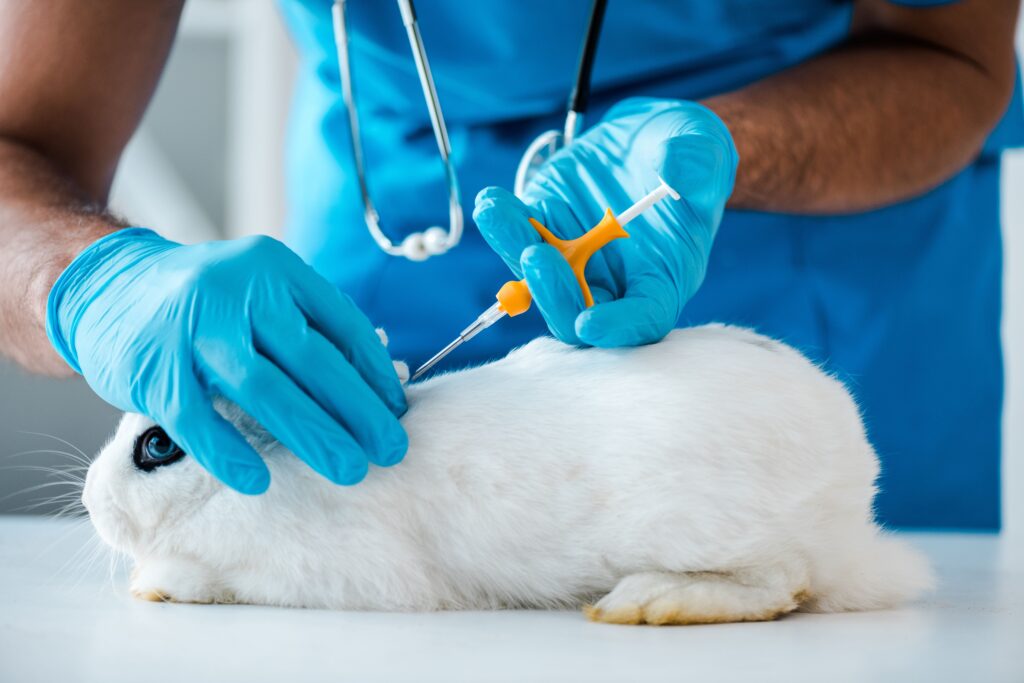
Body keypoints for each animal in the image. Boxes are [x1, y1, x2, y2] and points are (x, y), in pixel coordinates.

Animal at [81, 324, 933, 625]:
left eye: (158, 445)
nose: (90, 502)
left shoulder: (335, 572)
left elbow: (225, 579)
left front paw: (160, 583)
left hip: (708, 529)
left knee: (785, 582)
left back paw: (648, 602)